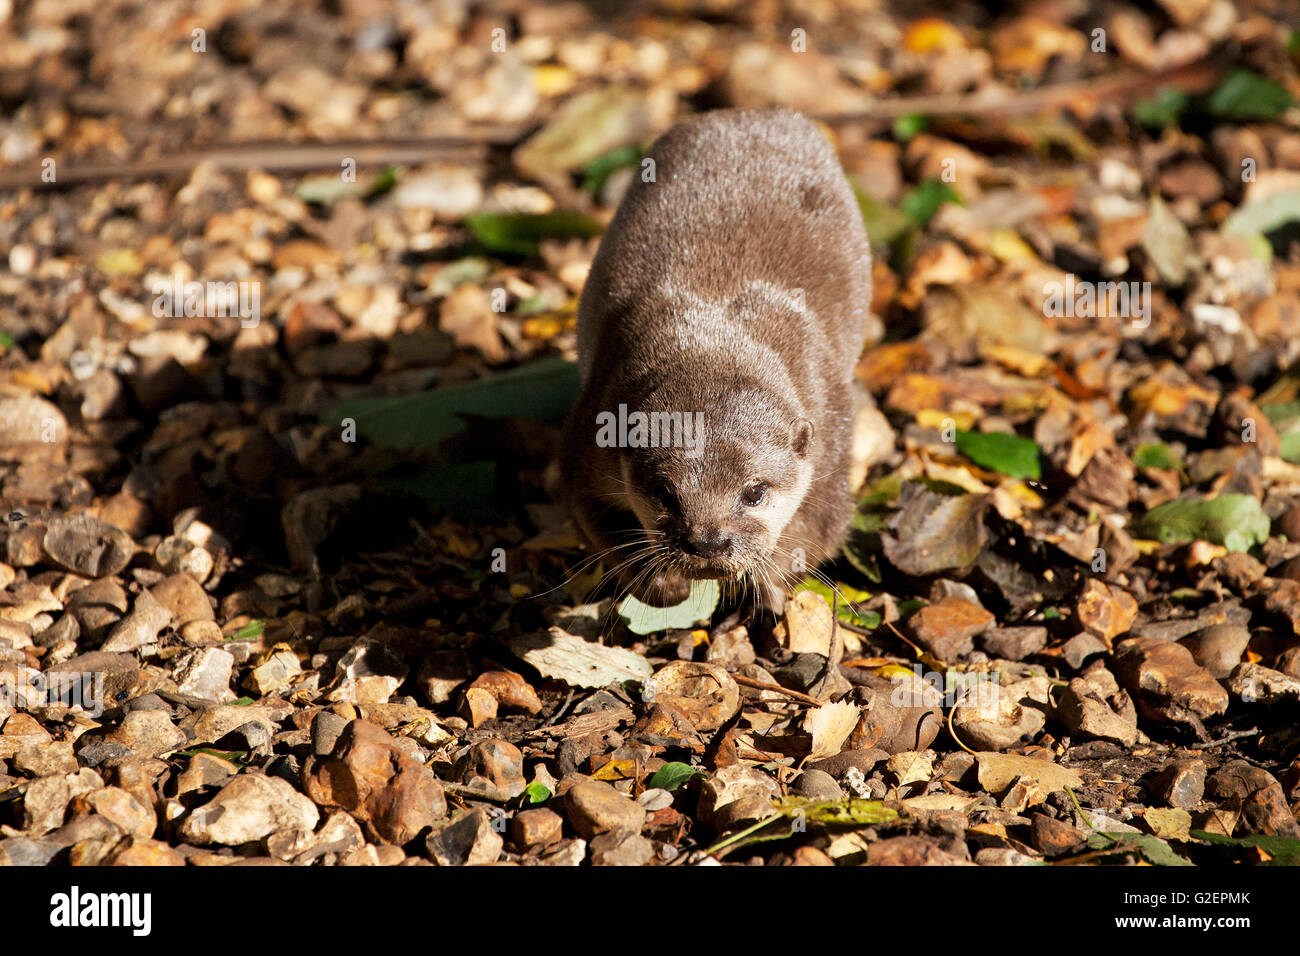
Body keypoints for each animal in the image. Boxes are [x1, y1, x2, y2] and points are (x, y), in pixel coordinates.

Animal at [553, 106, 878, 613]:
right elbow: (592, 515)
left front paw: (764, 588)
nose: (707, 541)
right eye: (664, 492)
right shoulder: (593, 430)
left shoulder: (828, 442)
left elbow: (821, 525)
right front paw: (660, 583)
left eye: (754, 491)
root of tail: (758, 115)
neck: (717, 335)